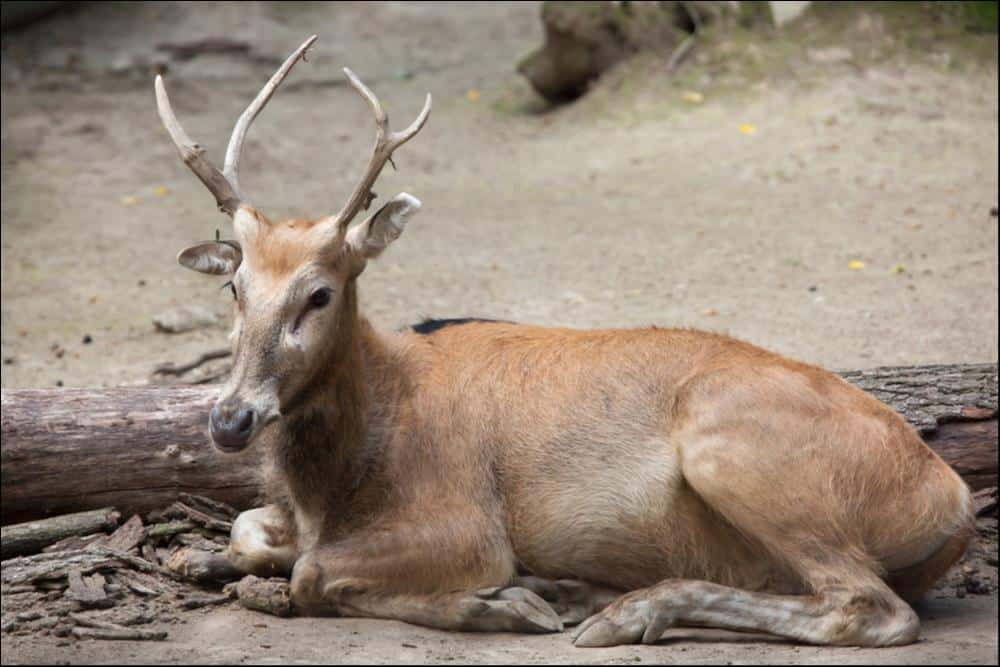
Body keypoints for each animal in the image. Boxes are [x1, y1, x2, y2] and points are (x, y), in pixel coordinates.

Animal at [152, 36, 972, 648]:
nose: (230, 418)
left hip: (734, 448)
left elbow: (313, 573)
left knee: (870, 606)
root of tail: (953, 501)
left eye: (318, 293)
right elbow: (249, 531)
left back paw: (621, 610)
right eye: (234, 287)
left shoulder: (465, 522)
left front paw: (506, 600)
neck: (344, 474)